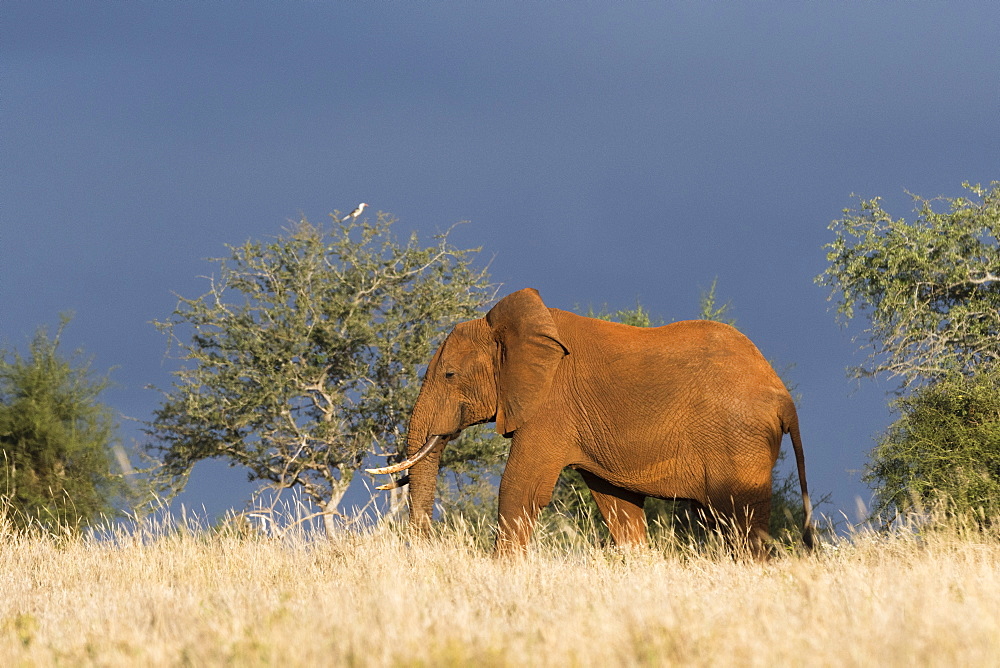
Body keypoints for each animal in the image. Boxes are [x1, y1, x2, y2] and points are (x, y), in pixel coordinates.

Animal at [370, 290, 812, 556]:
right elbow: (617, 505)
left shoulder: (549, 407)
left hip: (739, 440)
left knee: (740, 521)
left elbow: (519, 489)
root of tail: (783, 397)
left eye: (449, 375)